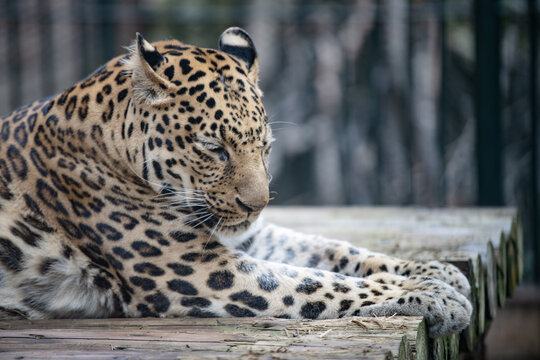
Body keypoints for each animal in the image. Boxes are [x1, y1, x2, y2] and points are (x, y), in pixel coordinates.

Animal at [0, 27, 472, 338]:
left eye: (266, 147)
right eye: (214, 148)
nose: (257, 205)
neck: (111, 143)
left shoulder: (239, 236)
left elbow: (330, 250)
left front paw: (437, 272)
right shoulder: (197, 267)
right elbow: (313, 281)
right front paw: (435, 296)